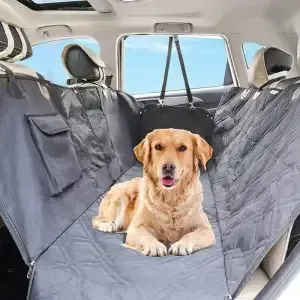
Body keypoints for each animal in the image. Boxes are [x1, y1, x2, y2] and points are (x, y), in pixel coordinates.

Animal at [92, 127, 216, 256]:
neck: (171, 198)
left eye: (182, 148)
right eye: (158, 147)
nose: (168, 167)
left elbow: (190, 235)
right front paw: (154, 246)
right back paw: (107, 226)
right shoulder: (135, 228)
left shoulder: (206, 229)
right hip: (120, 198)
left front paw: (181, 245)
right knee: (96, 219)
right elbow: (145, 236)